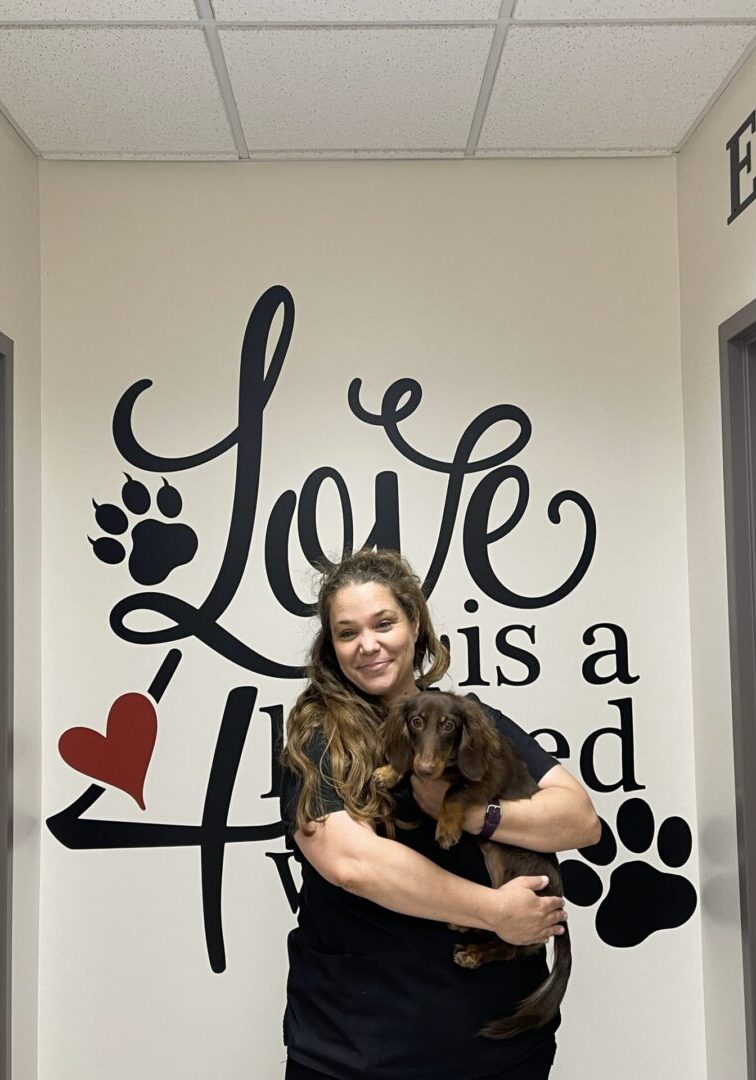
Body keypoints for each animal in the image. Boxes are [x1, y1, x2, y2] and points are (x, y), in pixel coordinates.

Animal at [371, 691, 574, 1036]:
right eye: (416, 721)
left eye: (448, 725)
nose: (426, 769)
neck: (449, 763)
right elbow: (407, 761)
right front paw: (390, 770)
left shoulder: (488, 777)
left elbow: (454, 791)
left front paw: (447, 828)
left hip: (517, 882)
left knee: (511, 945)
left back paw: (475, 954)